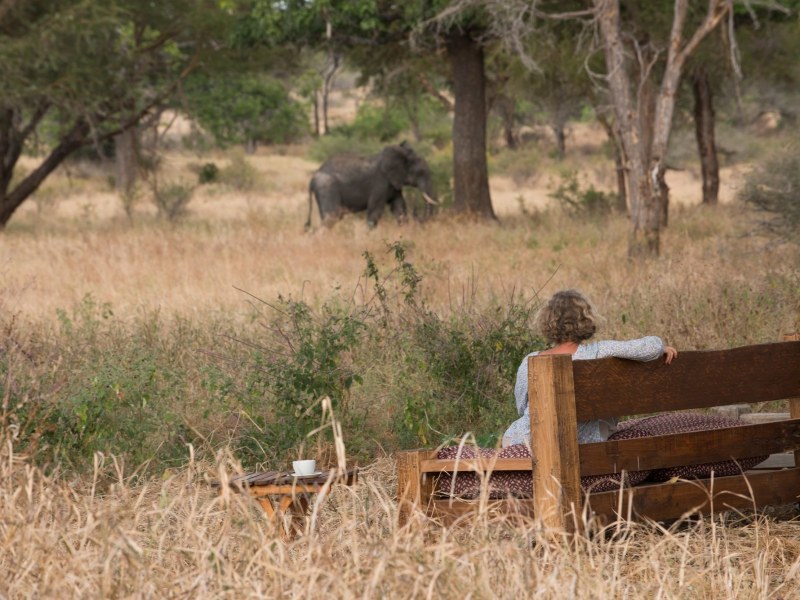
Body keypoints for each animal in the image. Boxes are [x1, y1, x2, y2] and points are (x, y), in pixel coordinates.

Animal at [307, 142, 437, 229]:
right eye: (420, 172)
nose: (416, 212)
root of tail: (312, 178)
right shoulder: (380, 183)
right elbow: (375, 211)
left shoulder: (394, 183)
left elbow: (398, 207)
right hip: (326, 188)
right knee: (331, 218)